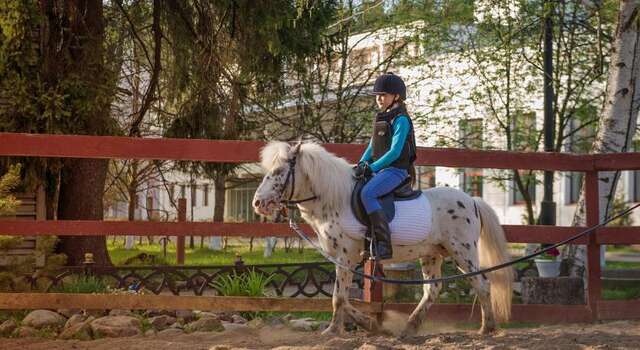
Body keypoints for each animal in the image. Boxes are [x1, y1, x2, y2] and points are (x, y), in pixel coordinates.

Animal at [252, 142, 512, 336]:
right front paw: (370, 324)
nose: (258, 203)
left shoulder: (345, 257)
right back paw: (408, 328)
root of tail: (472, 201)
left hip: (463, 251)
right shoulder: (343, 260)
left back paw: (487, 328)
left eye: (278, 173)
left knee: (482, 284)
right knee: (432, 289)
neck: (334, 200)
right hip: (432, 254)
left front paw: (334, 330)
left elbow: (339, 297)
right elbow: (344, 298)